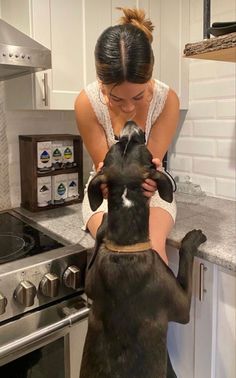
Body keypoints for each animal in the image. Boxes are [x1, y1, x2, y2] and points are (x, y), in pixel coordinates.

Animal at [79, 122, 206, 378]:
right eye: (131, 143)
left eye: (120, 145)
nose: (129, 124)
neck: (126, 245)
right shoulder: (182, 305)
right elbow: (186, 261)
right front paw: (192, 239)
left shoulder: (90, 282)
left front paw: (105, 222)